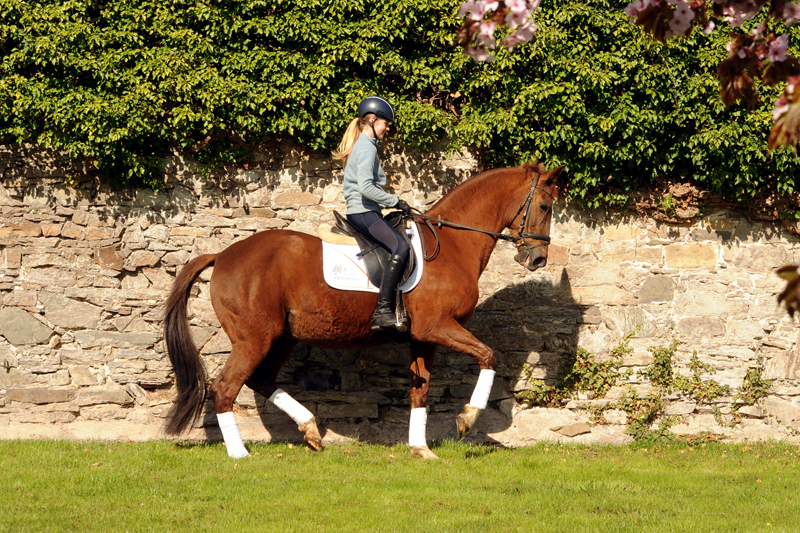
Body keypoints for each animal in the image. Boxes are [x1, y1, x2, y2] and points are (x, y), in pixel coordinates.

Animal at [162, 161, 564, 458]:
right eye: (544, 206)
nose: (538, 259)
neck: (451, 243)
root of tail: (223, 254)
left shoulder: (422, 336)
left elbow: (421, 390)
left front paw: (420, 449)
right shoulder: (437, 327)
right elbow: (489, 355)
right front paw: (468, 418)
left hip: (282, 337)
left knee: (260, 380)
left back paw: (310, 430)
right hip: (254, 338)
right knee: (225, 388)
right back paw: (239, 454)